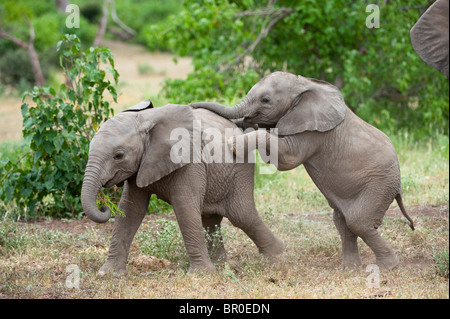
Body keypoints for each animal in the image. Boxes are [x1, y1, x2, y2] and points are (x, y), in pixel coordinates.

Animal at [80, 100, 284, 276]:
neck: (145, 120)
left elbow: (184, 207)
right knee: (211, 218)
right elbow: (130, 211)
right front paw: (108, 274)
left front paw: (201, 275)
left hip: (241, 167)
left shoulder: (190, 160)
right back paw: (221, 264)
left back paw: (278, 254)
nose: (104, 206)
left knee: (241, 214)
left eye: (119, 155)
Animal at [190, 72, 414, 270]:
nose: (192, 105)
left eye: (266, 100)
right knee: (343, 222)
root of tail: (398, 187)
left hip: (380, 184)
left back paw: (388, 267)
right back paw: (350, 269)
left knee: (359, 223)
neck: (304, 85)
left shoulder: (313, 132)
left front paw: (235, 143)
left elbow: (287, 158)